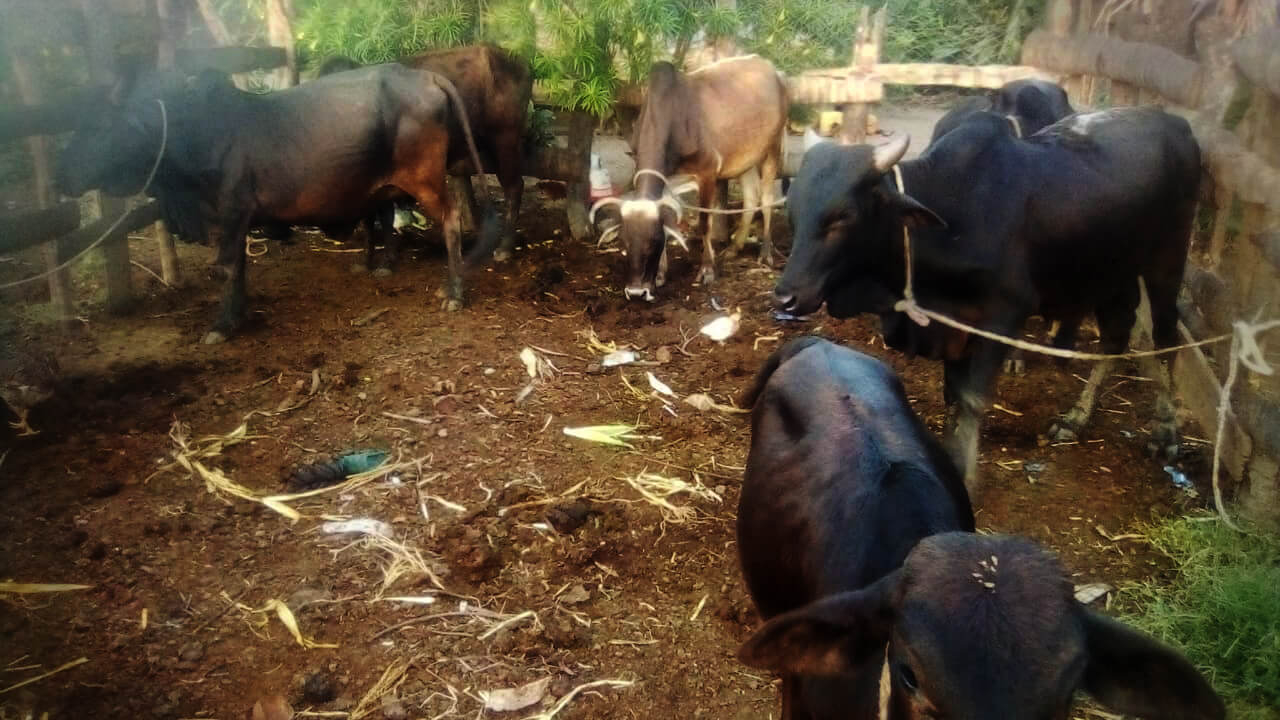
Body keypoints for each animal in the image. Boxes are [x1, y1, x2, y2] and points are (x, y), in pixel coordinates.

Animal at [60, 62, 499, 340]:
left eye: (99, 125)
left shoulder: (232, 211)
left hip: (425, 180)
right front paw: (235, 317)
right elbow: (238, 268)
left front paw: (223, 323)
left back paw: (454, 291)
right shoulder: (234, 219)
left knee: (450, 221)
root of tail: (427, 75)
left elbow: (227, 268)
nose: (67, 174)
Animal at [317, 45, 532, 269]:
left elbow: (381, 216)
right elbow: (373, 218)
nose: (334, 232)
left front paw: (385, 262)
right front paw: (367, 261)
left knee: (514, 187)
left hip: (505, 139)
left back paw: (505, 248)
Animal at [591, 56, 788, 299]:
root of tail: (773, 70)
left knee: (767, 199)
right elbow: (669, 219)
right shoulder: (666, 180)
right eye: (625, 242)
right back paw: (734, 248)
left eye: (653, 241)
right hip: (746, 158)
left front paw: (707, 271)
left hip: (772, 149)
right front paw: (660, 275)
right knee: (751, 197)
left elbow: (705, 224)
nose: (637, 292)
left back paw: (765, 253)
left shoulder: (708, 173)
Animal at [768, 106, 1198, 489]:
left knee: (1165, 338)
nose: (787, 297)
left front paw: (966, 473)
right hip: (1112, 273)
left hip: (1167, 262)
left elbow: (972, 397)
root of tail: (1176, 123)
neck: (954, 216)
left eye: (842, 216)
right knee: (1115, 338)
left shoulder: (1004, 314)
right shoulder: (955, 324)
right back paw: (1075, 419)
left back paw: (1165, 432)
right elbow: (953, 393)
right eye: (793, 209)